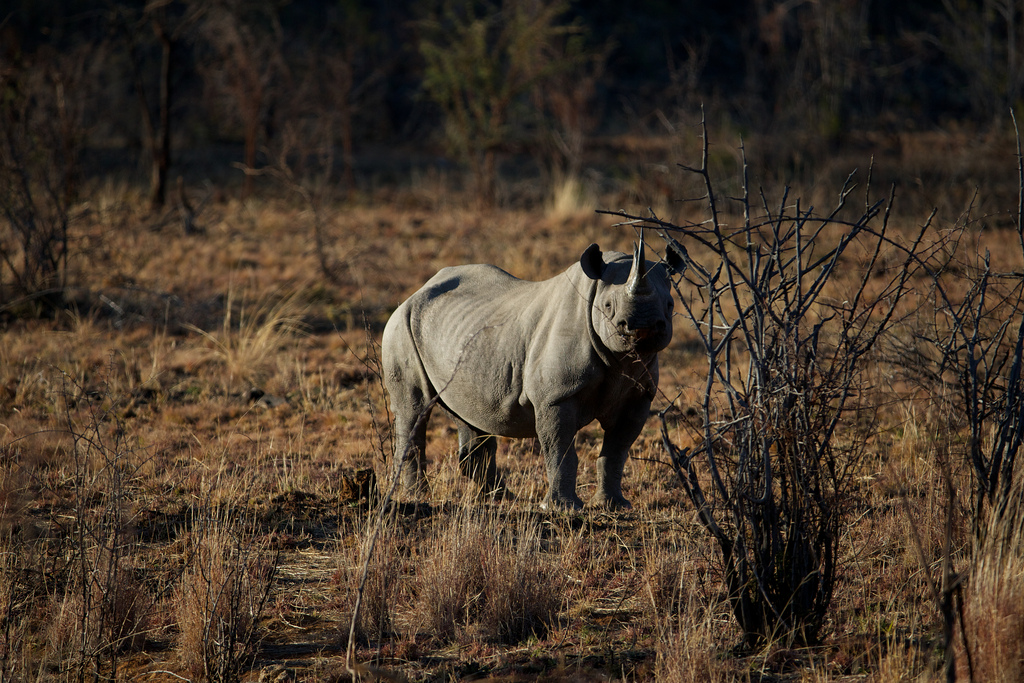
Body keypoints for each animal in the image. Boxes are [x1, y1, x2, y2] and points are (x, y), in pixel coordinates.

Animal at [381, 239, 681, 510]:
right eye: (608, 306)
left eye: (670, 305)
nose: (642, 327)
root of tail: (417, 291)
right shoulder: (557, 396)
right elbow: (560, 449)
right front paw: (562, 508)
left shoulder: (639, 395)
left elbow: (617, 450)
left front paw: (614, 506)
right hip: (401, 325)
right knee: (414, 408)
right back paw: (417, 497)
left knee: (471, 414)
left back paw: (501, 497)